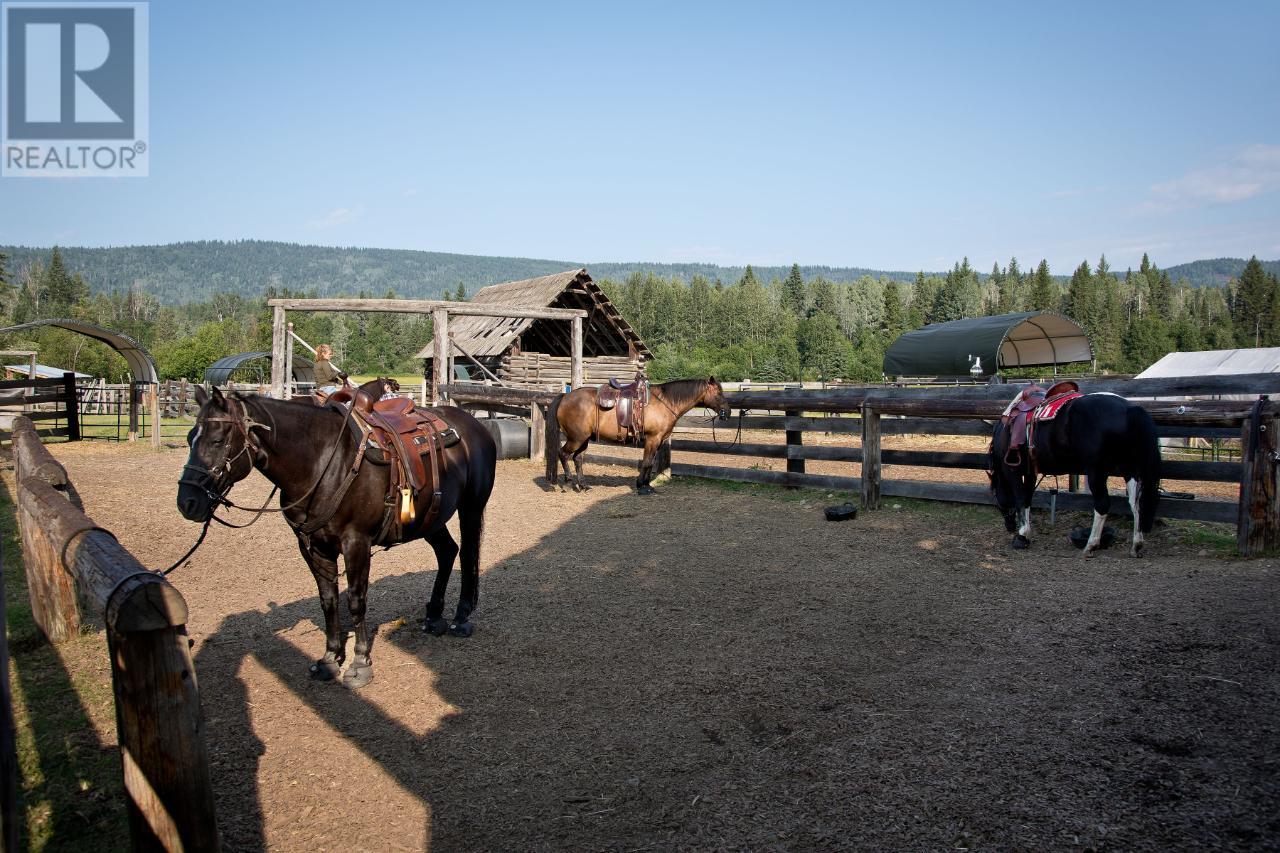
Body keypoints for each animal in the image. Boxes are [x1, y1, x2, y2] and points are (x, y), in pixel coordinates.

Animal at [177, 379, 496, 686]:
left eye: (217, 440)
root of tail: (475, 425)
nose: (187, 502)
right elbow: (328, 600)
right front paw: (330, 659)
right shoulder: (312, 546)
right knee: (447, 552)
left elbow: (355, 600)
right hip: (430, 516)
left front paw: (360, 663)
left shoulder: (356, 542)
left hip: (471, 507)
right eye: (189, 438)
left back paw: (461, 618)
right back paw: (433, 616)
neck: (321, 461)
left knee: (468, 554)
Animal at [552, 376, 732, 494]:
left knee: (577, 459)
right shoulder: (653, 438)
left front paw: (646, 485)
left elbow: (650, 463)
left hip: (584, 439)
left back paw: (583, 485)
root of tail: (565, 396)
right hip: (576, 439)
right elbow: (646, 462)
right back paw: (567, 483)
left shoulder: (658, 440)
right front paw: (641, 486)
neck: (664, 402)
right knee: (563, 454)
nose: (728, 412)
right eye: (718, 393)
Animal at [988, 381, 1162, 555]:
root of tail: (1128, 408)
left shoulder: (1011, 470)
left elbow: (1019, 498)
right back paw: (1136, 544)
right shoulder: (1032, 472)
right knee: (1136, 503)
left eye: (995, 494)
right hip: (1129, 470)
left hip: (1096, 471)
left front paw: (1022, 536)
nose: (1009, 526)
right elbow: (1027, 499)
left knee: (1102, 505)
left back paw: (1091, 545)